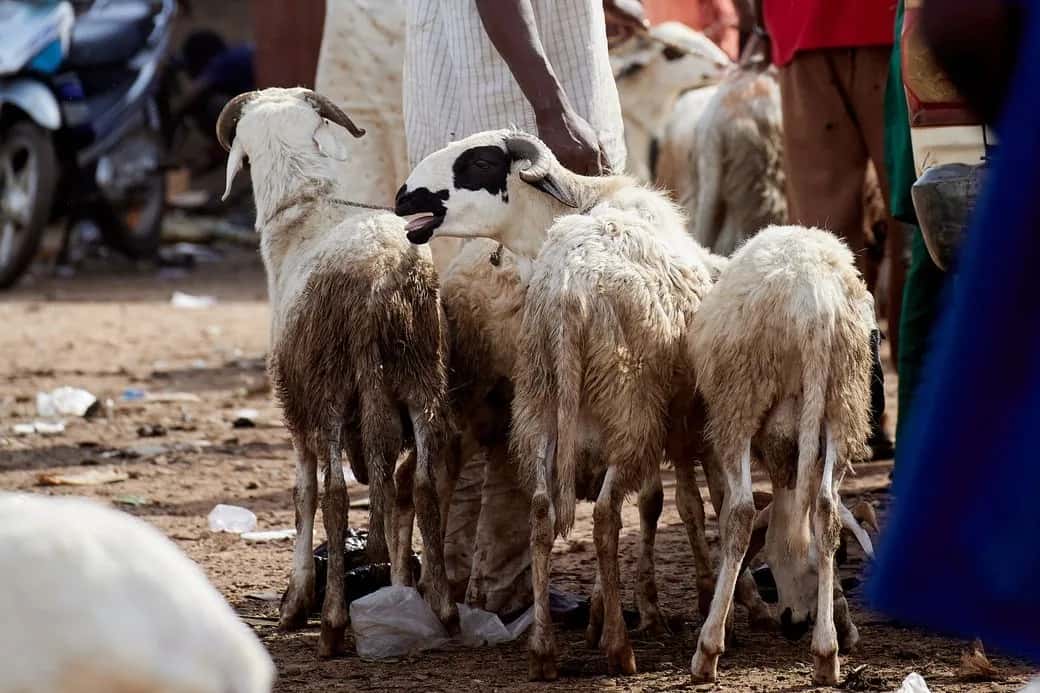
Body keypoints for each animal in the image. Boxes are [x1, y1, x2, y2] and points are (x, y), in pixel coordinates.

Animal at [216, 87, 457, 656]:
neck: (306, 207)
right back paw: (438, 607)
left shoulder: (295, 401)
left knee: (338, 496)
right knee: (423, 484)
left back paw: (330, 623)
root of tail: (381, 280)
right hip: (422, 378)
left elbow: (304, 493)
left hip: (330, 386)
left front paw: (294, 601)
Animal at [395, 129, 771, 679]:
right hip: (627, 409)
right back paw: (618, 646)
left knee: (509, 504)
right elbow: (687, 504)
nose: (403, 198)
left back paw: (519, 639)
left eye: (480, 162)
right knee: (606, 516)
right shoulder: (678, 418)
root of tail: (568, 293)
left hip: (530, 405)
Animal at [688, 225, 876, 686]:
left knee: (739, 514)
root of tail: (815, 306)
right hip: (842, 401)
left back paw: (707, 651)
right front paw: (843, 623)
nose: (793, 623)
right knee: (826, 509)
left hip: (740, 397)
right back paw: (826, 655)